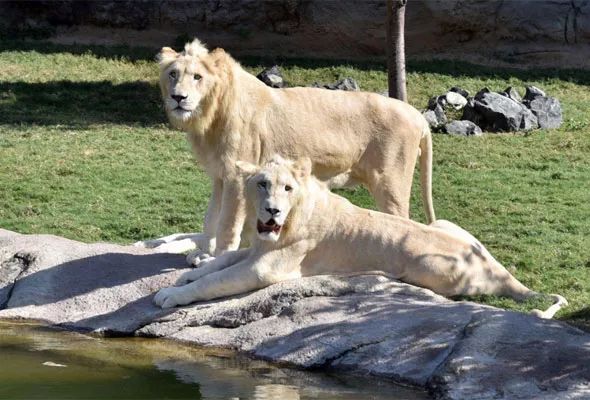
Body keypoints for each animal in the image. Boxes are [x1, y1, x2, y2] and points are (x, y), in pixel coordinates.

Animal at [136, 39, 438, 260]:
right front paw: (202, 253)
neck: (209, 116)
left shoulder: (235, 175)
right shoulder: (219, 175)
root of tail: (418, 116)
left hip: (390, 184)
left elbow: (228, 222)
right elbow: (211, 217)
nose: (178, 97)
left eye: (197, 77)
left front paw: (215, 257)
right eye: (173, 74)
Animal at [156, 156, 568, 318]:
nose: (272, 210)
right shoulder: (256, 249)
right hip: (444, 223)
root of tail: (499, 270)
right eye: (261, 184)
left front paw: (170, 295)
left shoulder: (268, 268)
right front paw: (187, 273)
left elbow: (217, 281)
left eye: (287, 188)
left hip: (430, 267)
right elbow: (222, 260)